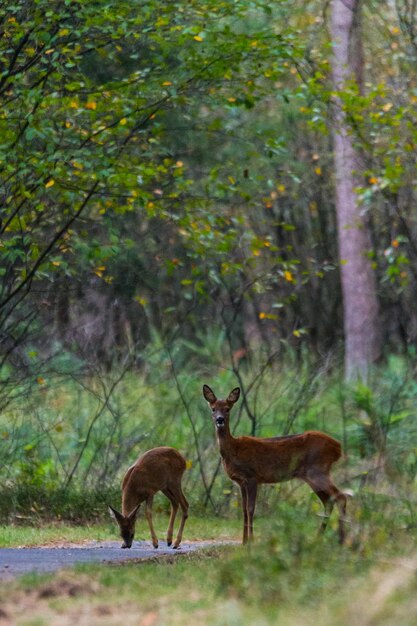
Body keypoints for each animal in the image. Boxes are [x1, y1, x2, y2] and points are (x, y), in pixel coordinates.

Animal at [203, 380, 346, 540]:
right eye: (213, 409)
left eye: (227, 409)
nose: (219, 420)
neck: (233, 450)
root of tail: (338, 447)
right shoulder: (241, 482)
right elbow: (244, 510)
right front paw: (244, 541)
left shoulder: (252, 477)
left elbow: (251, 509)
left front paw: (251, 540)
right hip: (312, 475)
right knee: (329, 501)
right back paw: (320, 537)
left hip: (317, 470)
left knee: (340, 497)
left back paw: (342, 539)